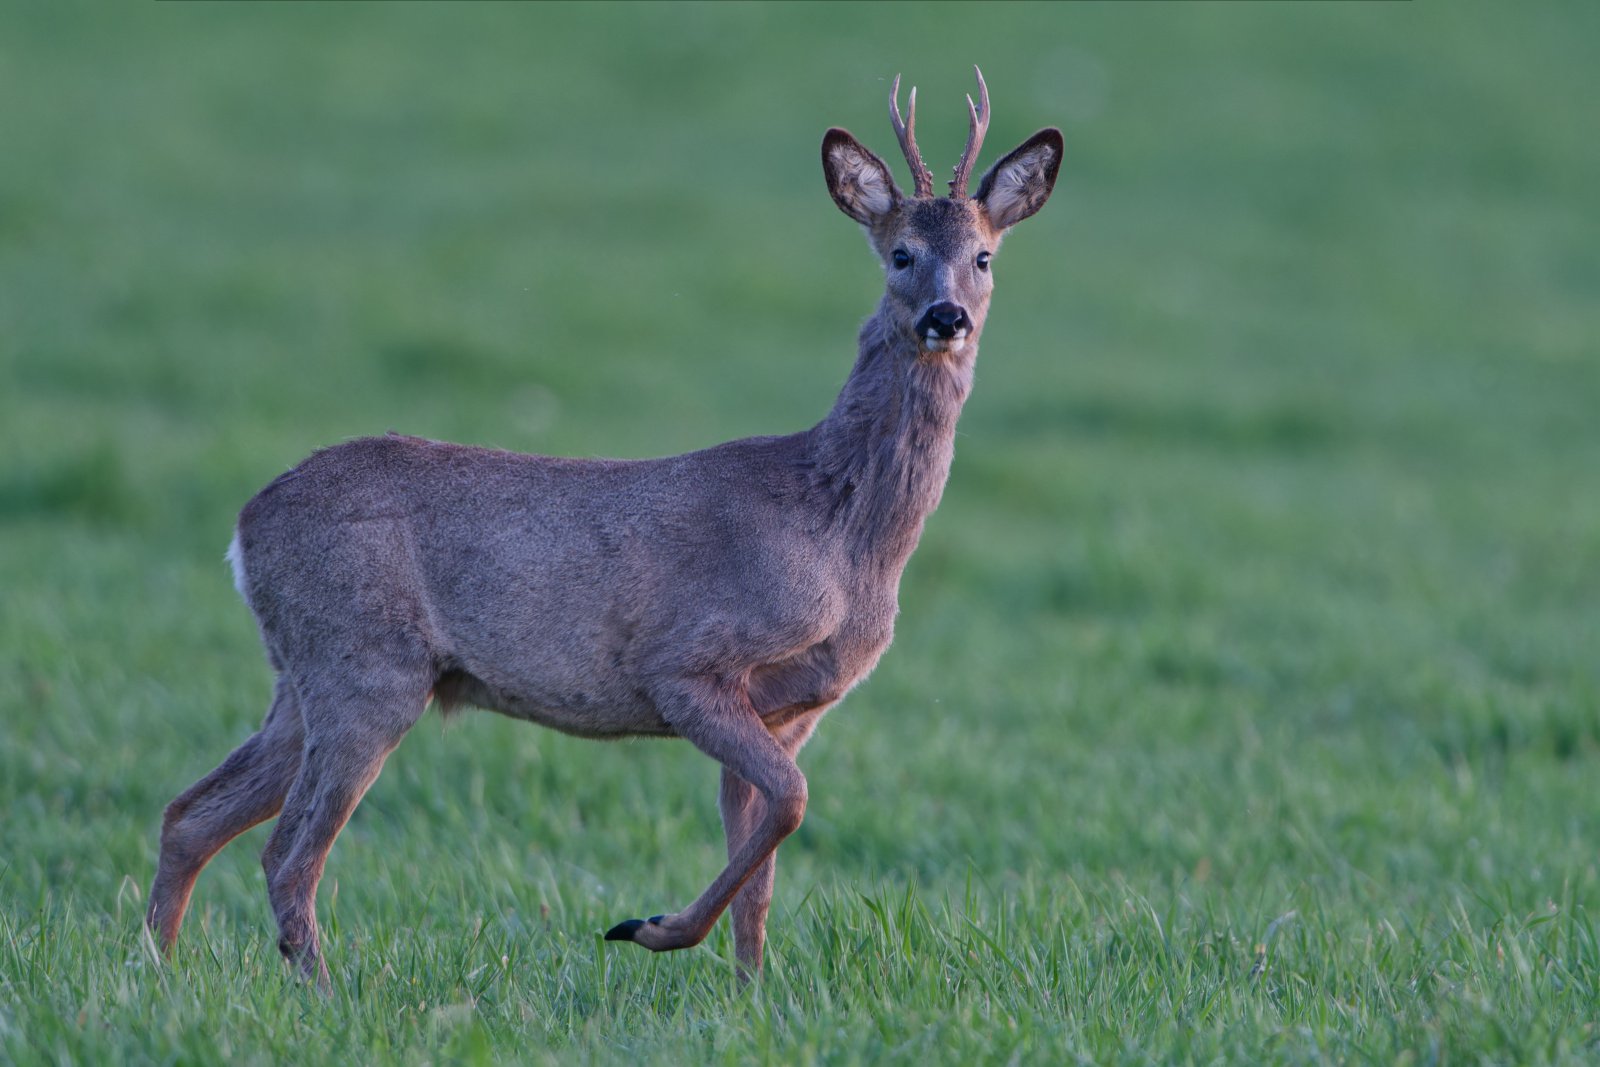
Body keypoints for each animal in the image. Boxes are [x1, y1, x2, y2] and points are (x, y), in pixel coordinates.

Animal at [144, 66, 1056, 985]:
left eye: (983, 256)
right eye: (900, 254)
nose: (947, 316)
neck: (840, 533)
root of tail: (245, 526)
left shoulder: (793, 710)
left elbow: (762, 863)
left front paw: (752, 989)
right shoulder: (686, 663)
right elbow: (792, 805)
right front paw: (645, 926)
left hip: (302, 674)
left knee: (190, 812)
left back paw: (156, 967)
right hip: (364, 663)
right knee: (288, 851)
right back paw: (321, 992)